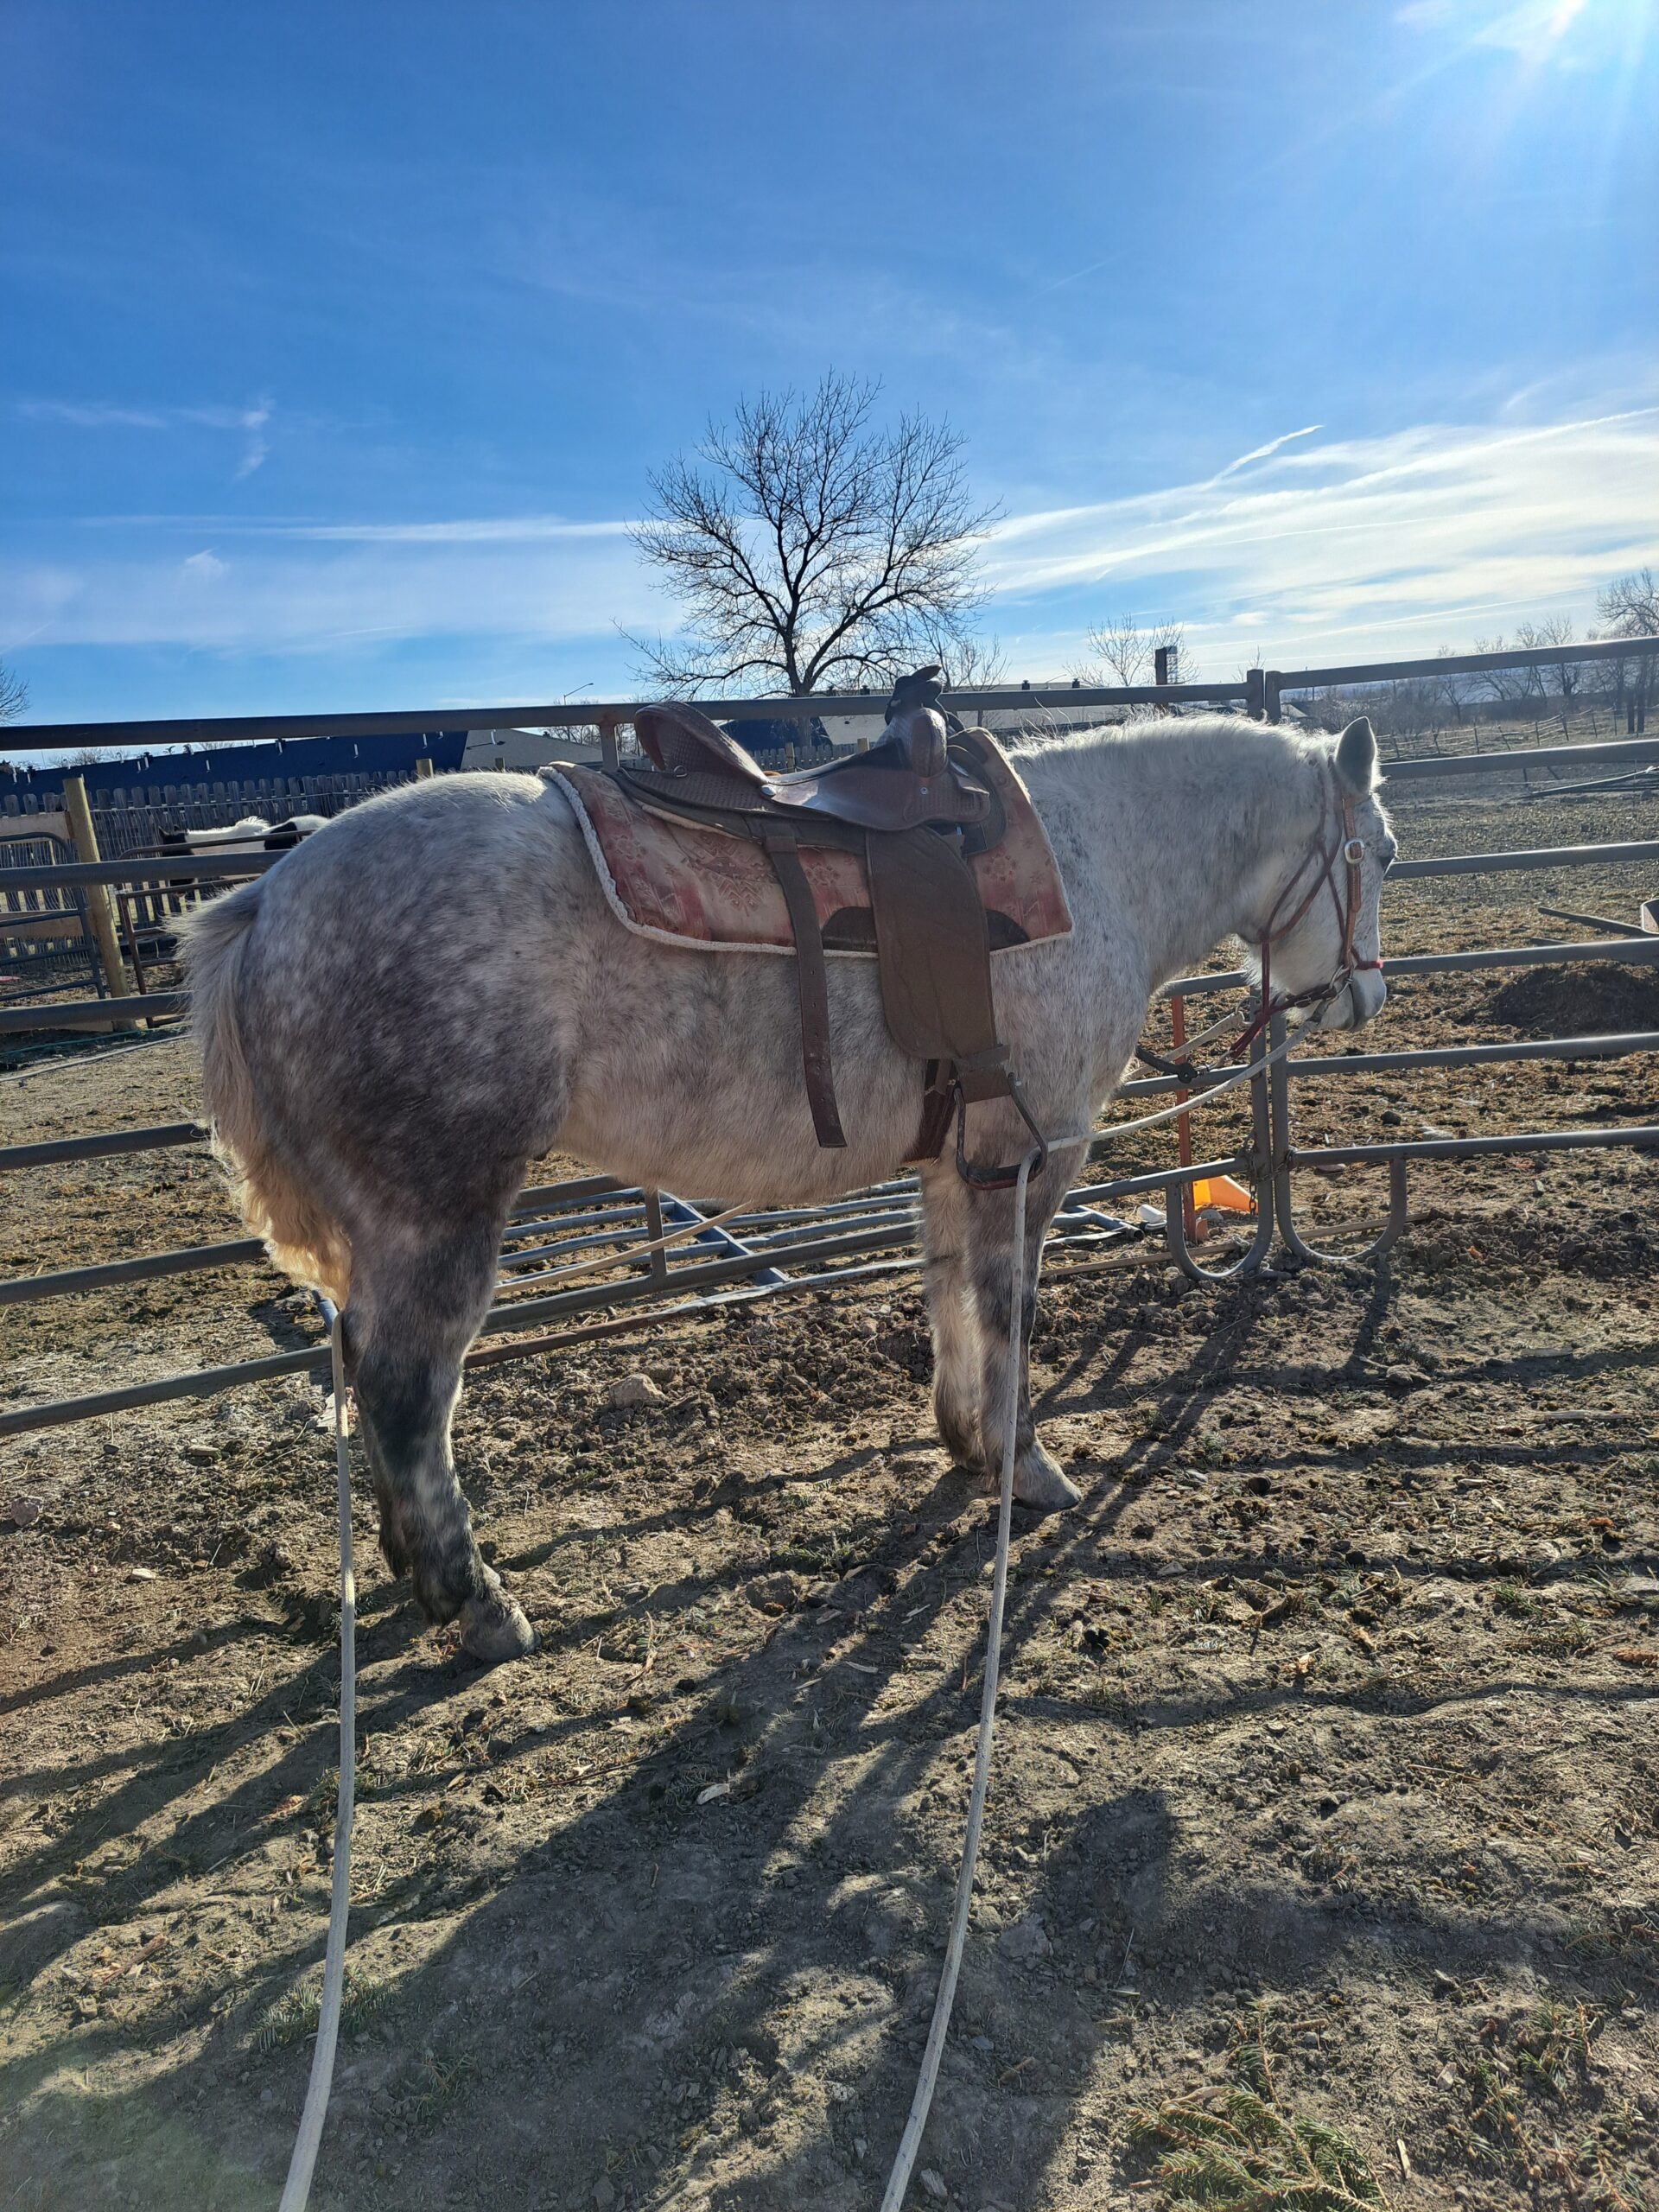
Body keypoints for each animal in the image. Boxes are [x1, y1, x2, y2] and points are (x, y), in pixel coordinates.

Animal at [180, 711, 1393, 1665]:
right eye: (1375, 850)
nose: (1364, 995)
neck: (1097, 865)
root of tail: (267, 903)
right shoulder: (1031, 1154)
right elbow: (1009, 1307)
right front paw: (1027, 1464)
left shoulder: (957, 1162)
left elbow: (951, 1296)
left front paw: (965, 1439)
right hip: (439, 1218)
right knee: (406, 1392)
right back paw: (474, 1602)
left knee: (369, 1381)